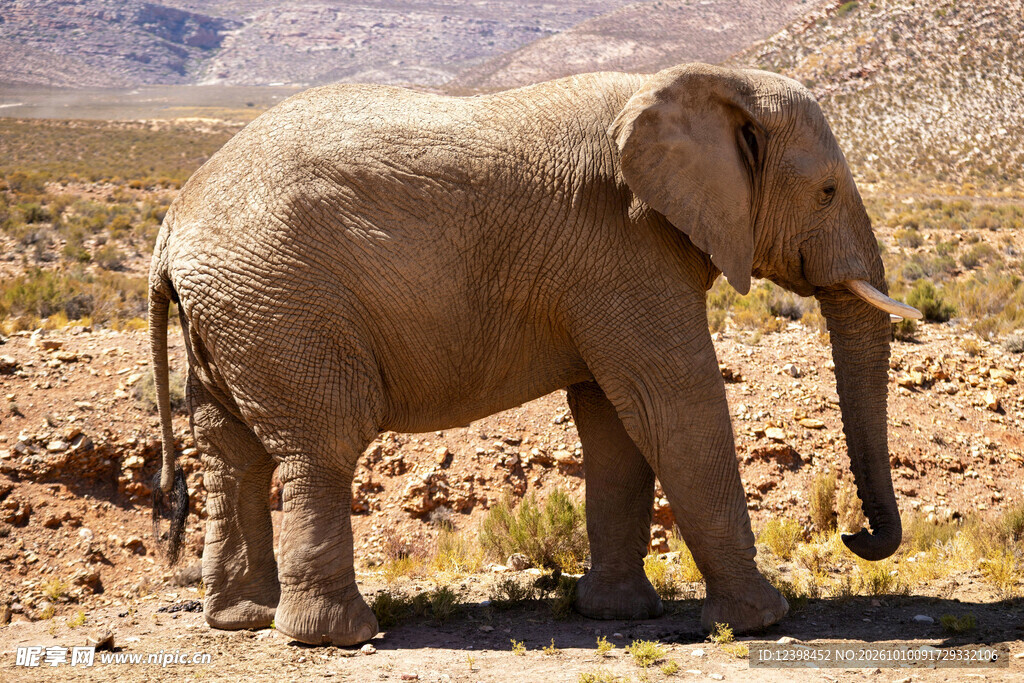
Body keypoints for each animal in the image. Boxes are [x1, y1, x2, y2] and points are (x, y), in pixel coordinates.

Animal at [148, 62, 922, 646]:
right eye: (827, 192)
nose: (855, 533)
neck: (697, 84)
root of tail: (172, 224)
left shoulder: (607, 266)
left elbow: (616, 421)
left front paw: (618, 614)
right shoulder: (623, 247)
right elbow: (674, 401)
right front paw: (761, 620)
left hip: (236, 312)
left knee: (231, 454)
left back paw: (241, 621)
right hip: (281, 299)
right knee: (323, 447)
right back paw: (336, 637)